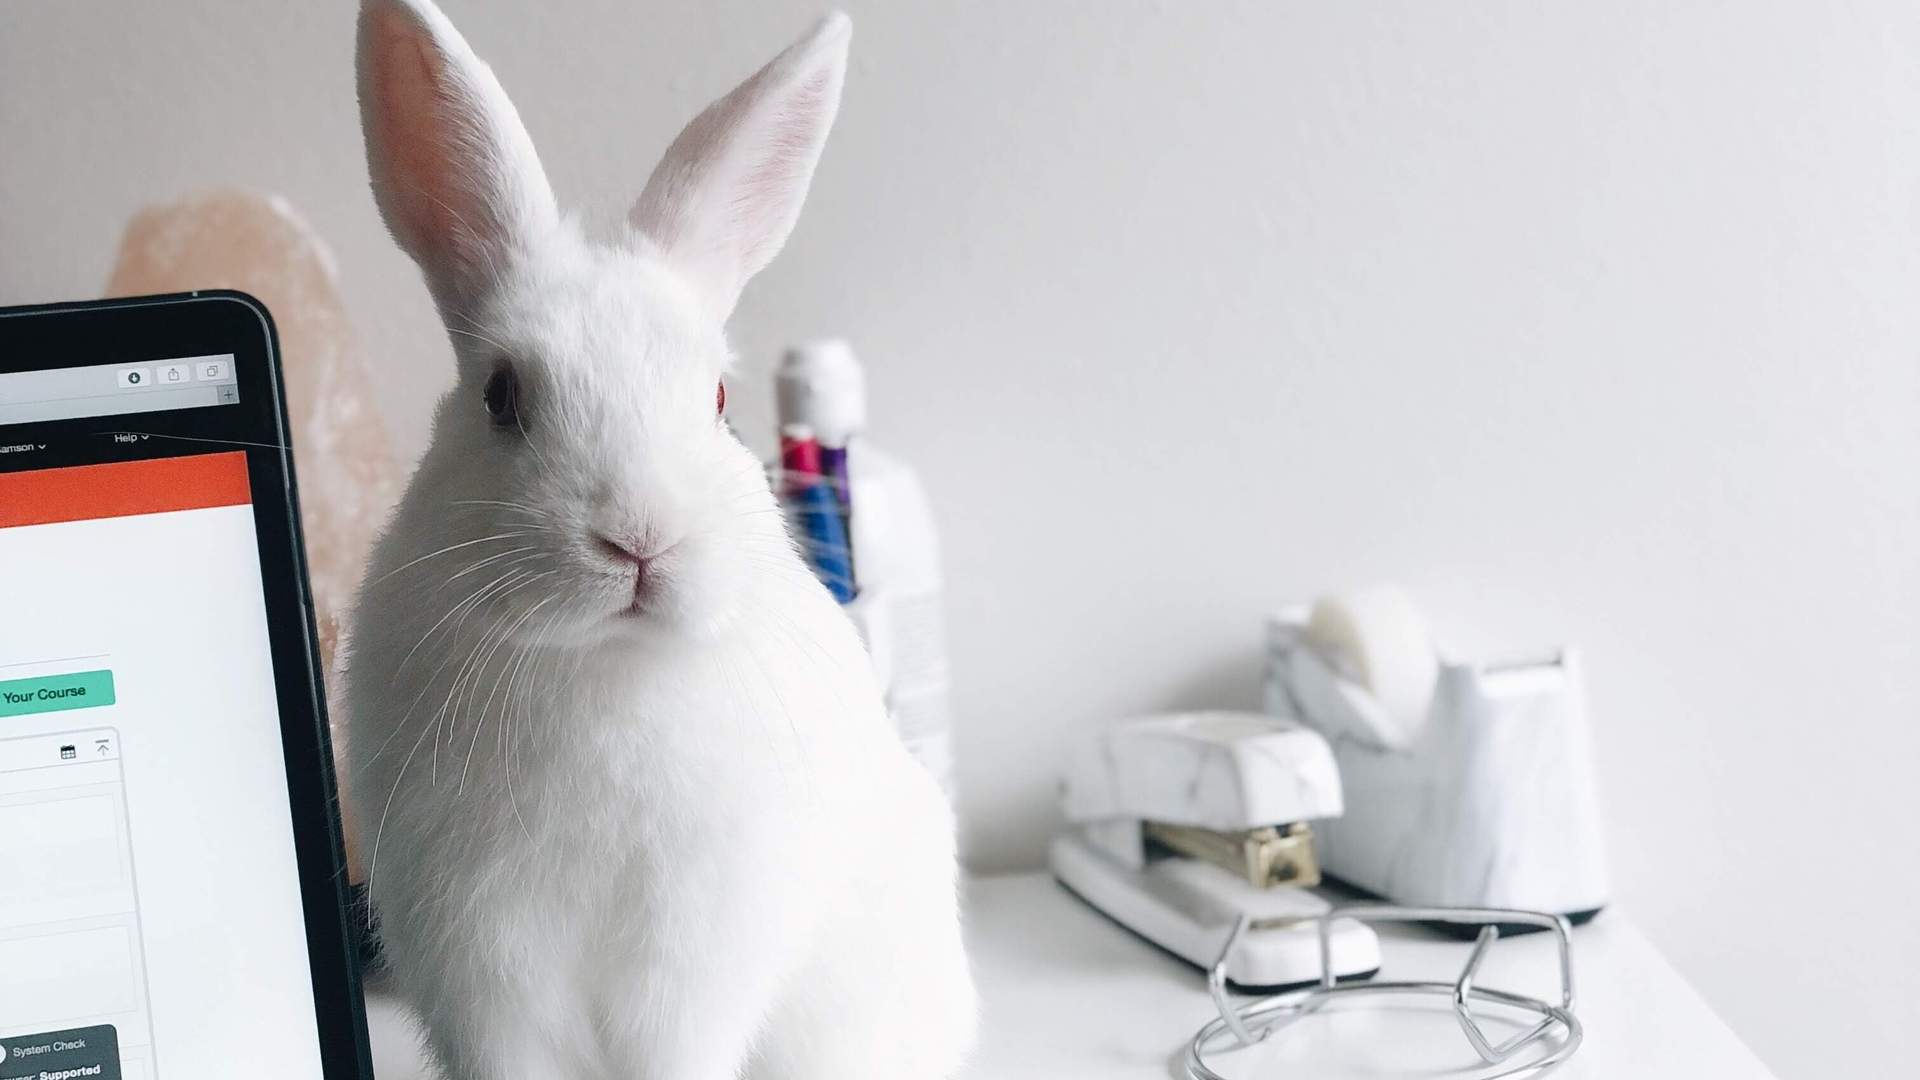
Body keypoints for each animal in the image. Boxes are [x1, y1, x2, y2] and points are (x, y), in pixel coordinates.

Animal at [342, 1, 976, 1077]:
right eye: (502, 396)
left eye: (719, 399)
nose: (638, 542)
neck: (604, 662)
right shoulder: (484, 962)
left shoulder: (691, 962)